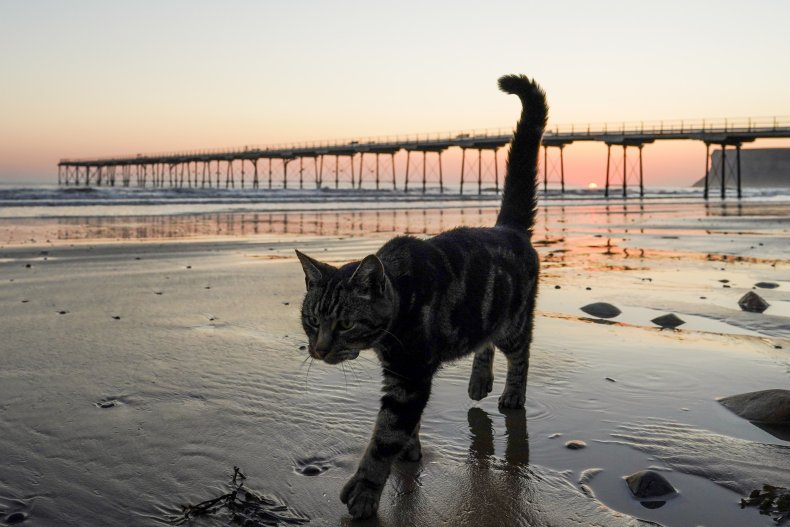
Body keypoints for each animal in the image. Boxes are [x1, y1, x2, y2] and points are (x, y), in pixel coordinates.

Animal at [294, 74, 548, 520]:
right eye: (312, 321)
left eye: (345, 324)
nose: (319, 349)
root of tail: (509, 228)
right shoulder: (405, 374)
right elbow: (403, 429)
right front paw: (410, 451)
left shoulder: (409, 376)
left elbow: (385, 436)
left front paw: (365, 492)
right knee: (483, 343)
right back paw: (479, 380)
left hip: (513, 322)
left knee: (520, 355)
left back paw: (512, 394)